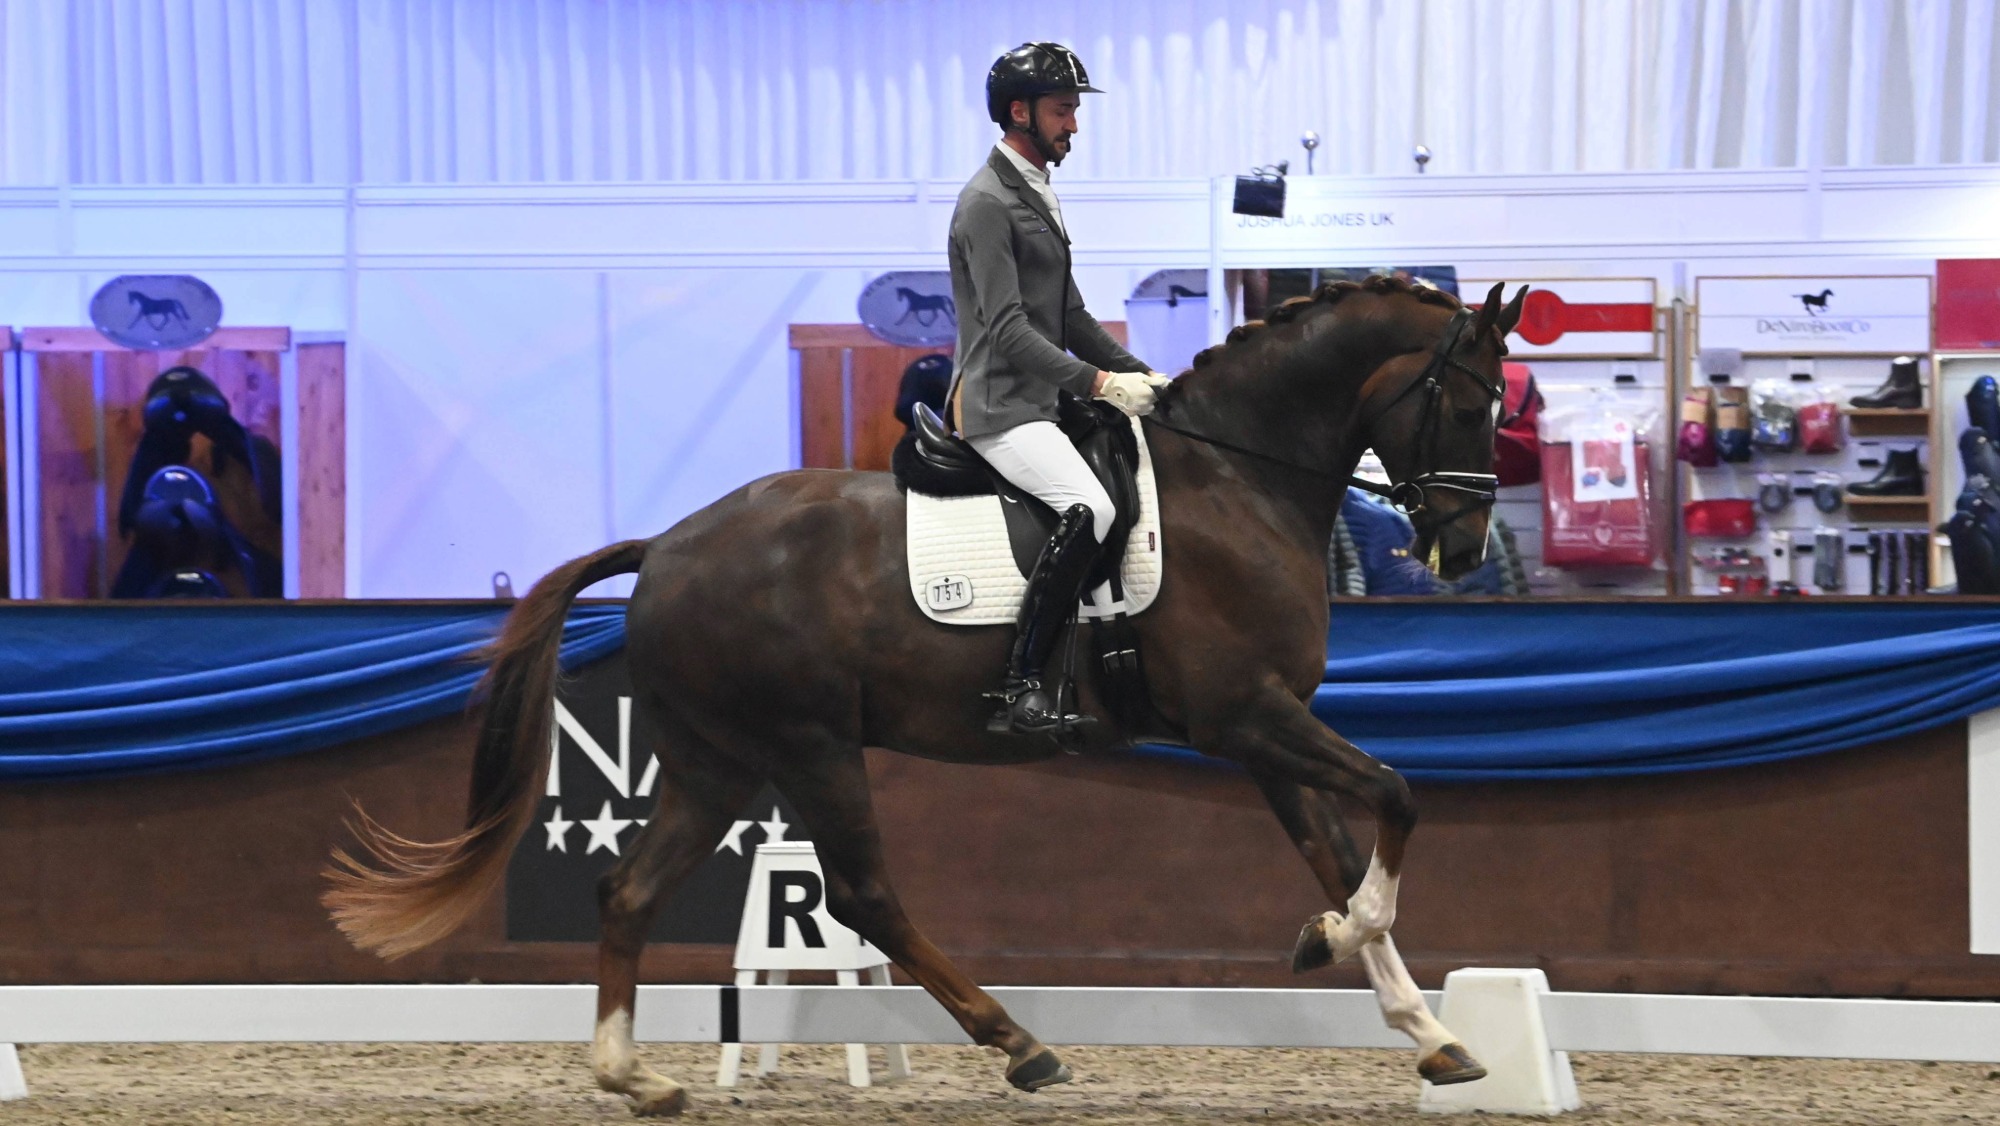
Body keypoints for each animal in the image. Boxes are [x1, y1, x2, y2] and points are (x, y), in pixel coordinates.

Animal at [325, 274, 1529, 1117]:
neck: (1234, 478)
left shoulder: (1261, 726)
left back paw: (634, 1078)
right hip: (808, 746)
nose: (1464, 549)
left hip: (719, 761)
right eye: (1471, 404)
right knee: (862, 894)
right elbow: (1396, 797)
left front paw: (1426, 1030)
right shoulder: (1247, 715)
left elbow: (1338, 843)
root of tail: (664, 546)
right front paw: (1339, 940)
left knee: (629, 892)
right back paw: (1020, 1046)